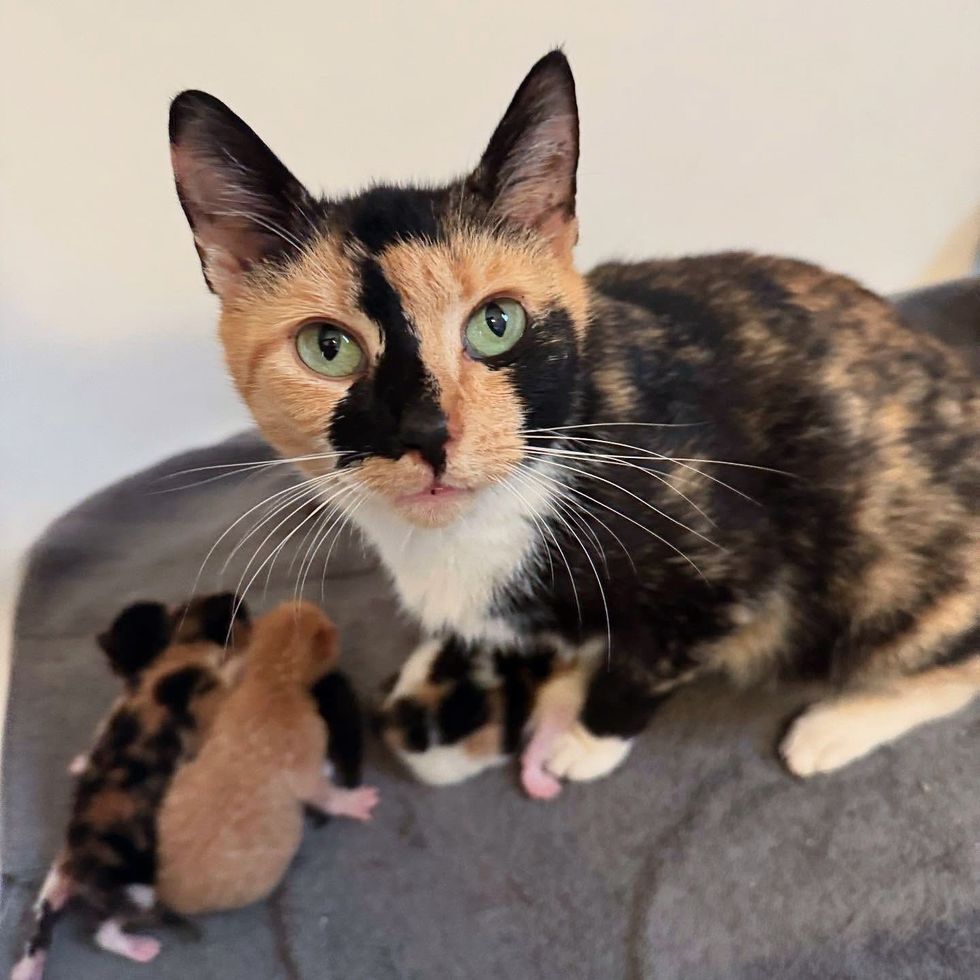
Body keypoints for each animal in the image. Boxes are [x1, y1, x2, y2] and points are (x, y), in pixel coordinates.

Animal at [168, 49, 980, 792]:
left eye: (497, 323)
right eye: (326, 347)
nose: (425, 434)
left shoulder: (726, 575)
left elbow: (647, 665)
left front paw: (586, 738)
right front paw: (556, 686)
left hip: (885, 563)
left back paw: (834, 727)